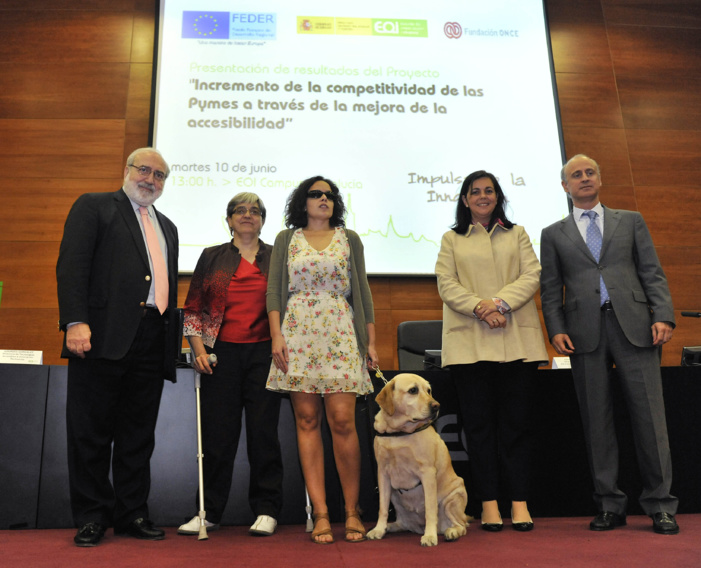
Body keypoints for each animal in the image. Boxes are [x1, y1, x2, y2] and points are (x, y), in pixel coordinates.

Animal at [364, 372, 468, 544]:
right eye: (413, 390)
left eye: (429, 390)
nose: (436, 406)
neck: (399, 432)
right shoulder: (383, 474)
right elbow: (382, 508)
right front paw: (378, 529)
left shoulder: (427, 473)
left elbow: (430, 509)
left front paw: (430, 536)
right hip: (395, 497)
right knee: (402, 523)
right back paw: (389, 527)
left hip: (453, 497)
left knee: (462, 524)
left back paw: (452, 531)